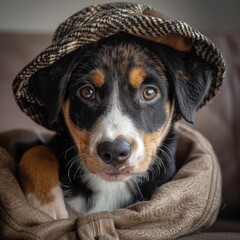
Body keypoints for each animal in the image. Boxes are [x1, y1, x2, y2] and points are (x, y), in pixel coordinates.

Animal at [18, 32, 212, 218]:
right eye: (87, 92)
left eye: (149, 92)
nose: (114, 151)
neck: (111, 187)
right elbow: (36, 150)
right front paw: (47, 205)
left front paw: (46, 205)